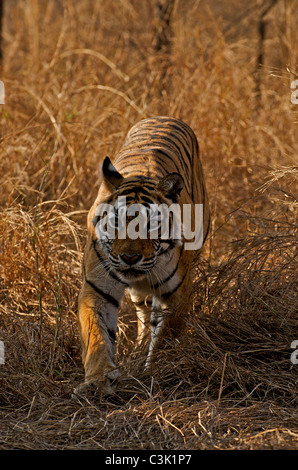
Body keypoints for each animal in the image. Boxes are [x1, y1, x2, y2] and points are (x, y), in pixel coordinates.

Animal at [74, 115, 210, 394]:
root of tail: (164, 116)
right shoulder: (97, 288)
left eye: (150, 225)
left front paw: (154, 371)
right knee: (143, 315)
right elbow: (96, 335)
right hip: (138, 295)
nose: (129, 258)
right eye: (116, 223)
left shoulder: (175, 293)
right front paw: (98, 380)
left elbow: (165, 335)